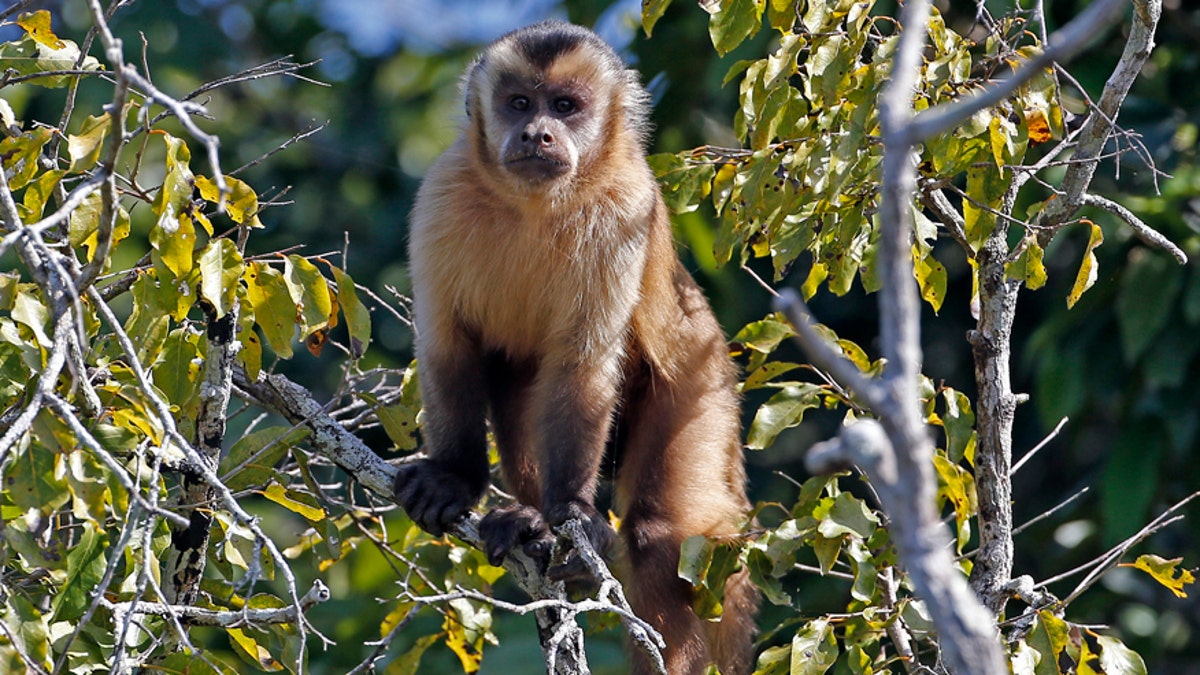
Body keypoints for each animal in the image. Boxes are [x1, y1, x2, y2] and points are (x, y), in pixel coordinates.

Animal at [398, 21, 763, 672]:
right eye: (520, 103)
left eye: (565, 107)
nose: (537, 133)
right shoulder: (440, 193)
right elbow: (448, 345)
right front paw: (455, 478)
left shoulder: (627, 204)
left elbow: (582, 367)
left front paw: (572, 512)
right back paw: (531, 526)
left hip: (707, 384)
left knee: (661, 533)